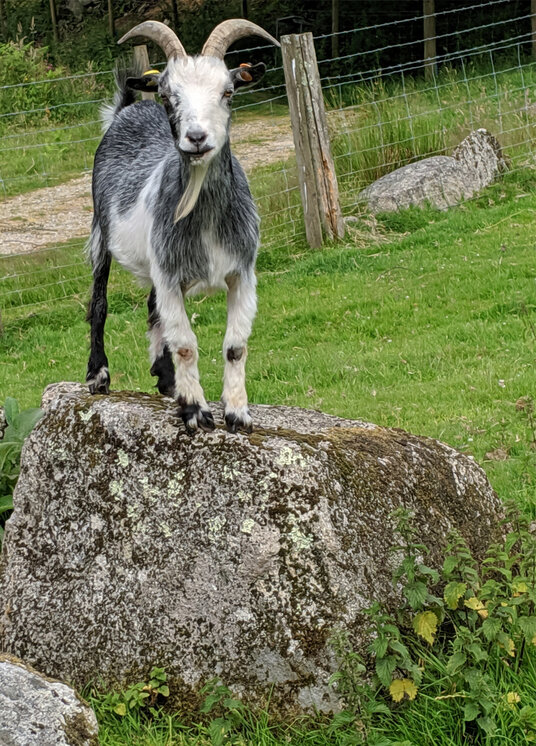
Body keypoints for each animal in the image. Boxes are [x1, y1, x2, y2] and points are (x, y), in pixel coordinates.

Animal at [86, 19, 279, 434]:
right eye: (166, 95)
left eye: (228, 91)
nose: (196, 138)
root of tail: (126, 110)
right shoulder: (169, 272)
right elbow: (187, 343)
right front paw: (195, 410)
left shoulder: (242, 273)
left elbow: (235, 346)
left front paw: (237, 412)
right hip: (99, 233)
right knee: (99, 302)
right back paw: (98, 375)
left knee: (152, 306)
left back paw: (166, 377)